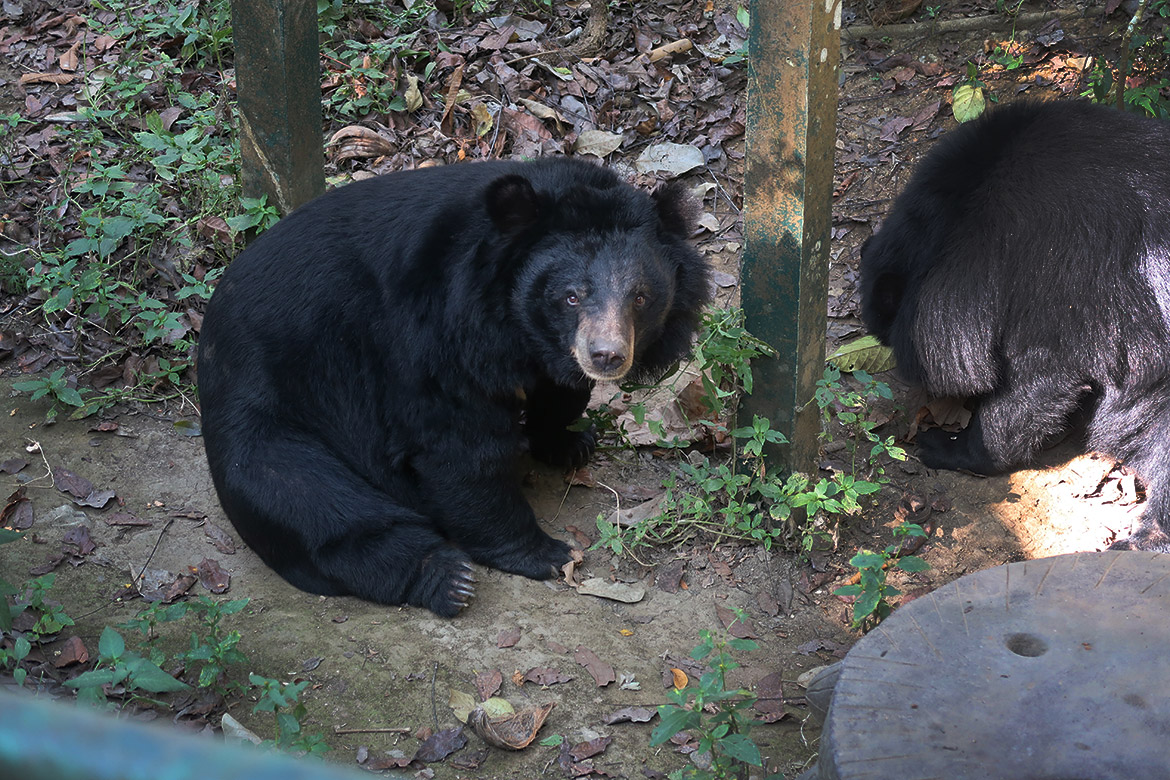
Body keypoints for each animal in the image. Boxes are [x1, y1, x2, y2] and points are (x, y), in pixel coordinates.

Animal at [198, 159, 711, 617]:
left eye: (640, 297)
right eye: (571, 296)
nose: (605, 356)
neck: (508, 321)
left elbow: (559, 395)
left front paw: (570, 442)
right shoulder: (432, 331)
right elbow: (459, 445)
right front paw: (546, 553)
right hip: (265, 407)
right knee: (301, 494)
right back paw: (445, 578)